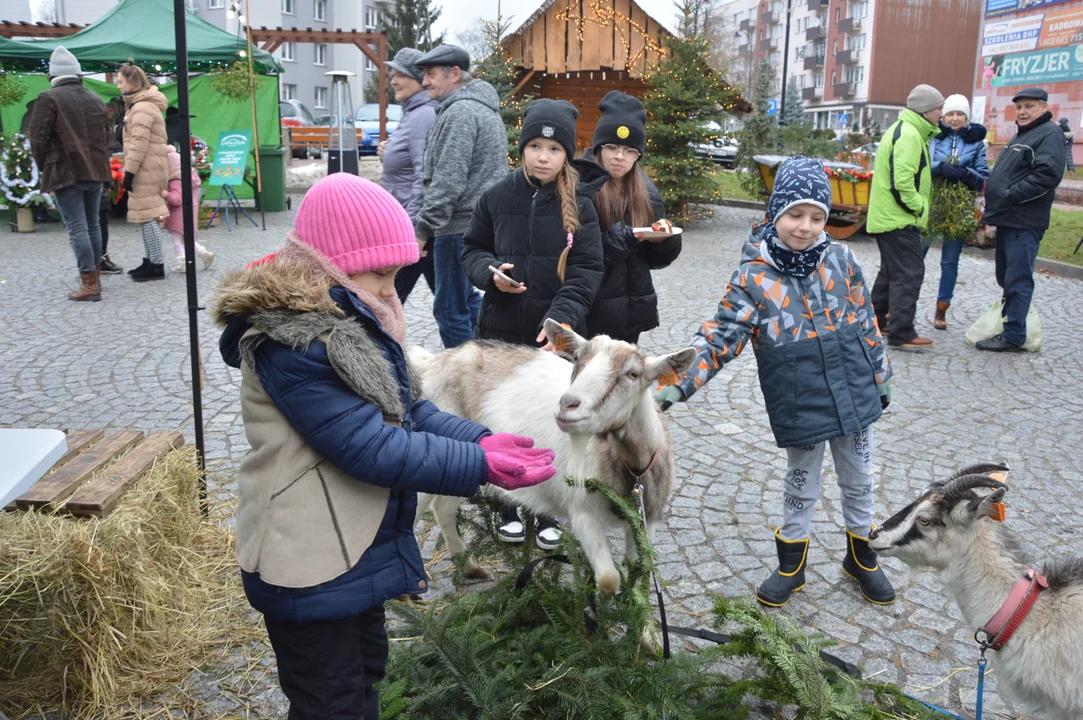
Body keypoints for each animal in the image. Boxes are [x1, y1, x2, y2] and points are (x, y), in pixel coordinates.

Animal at [409, 320, 697, 593]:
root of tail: (430, 364)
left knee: (443, 508)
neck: (632, 471)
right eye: (577, 360)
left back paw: (469, 567)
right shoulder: (583, 513)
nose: (568, 404)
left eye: (633, 374)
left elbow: (639, 574)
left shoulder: (646, 520)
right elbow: (608, 578)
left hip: (460, 461)